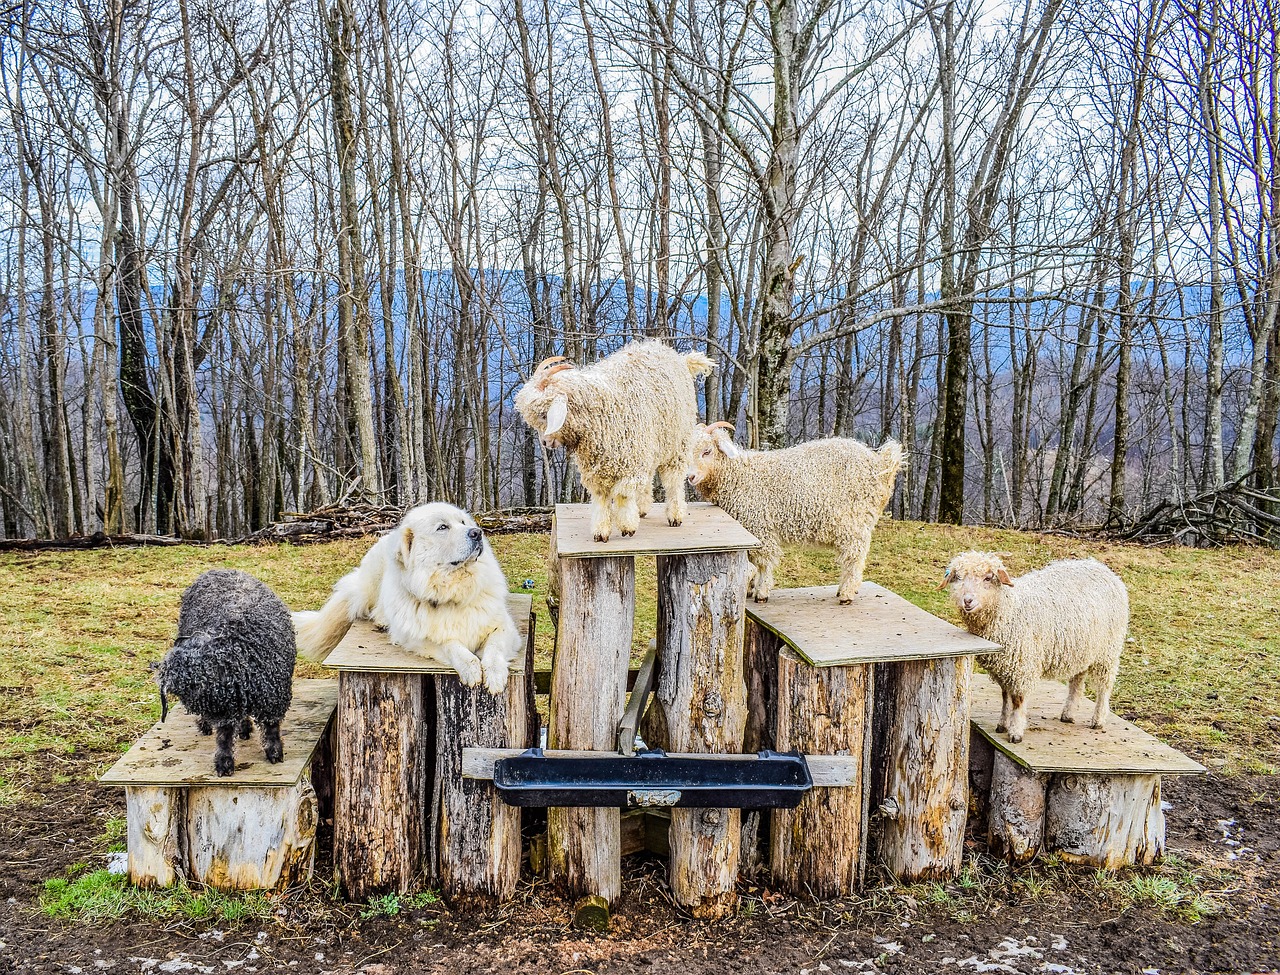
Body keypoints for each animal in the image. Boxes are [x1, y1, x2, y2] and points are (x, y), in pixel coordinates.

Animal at [153, 565, 298, 772]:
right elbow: (224, 735)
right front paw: (224, 762)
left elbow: (271, 728)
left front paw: (275, 753)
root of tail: (216, 570)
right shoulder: (224, 707)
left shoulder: (273, 697)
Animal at [293, 501, 519, 690]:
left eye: (462, 522)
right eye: (442, 527)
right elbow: (451, 645)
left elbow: (495, 648)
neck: (452, 591)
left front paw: (495, 675)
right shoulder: (419, 639)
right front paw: (470, 668)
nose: (477, 532)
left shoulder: (503, 626)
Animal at [514, 340, 716, 539]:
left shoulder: (630, 462)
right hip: (650, 445)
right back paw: (642, 508)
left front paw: (627, 526)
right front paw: (601, 531)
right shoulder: (598, 468)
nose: (545, 443)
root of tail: (678, 357)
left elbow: (623, 495)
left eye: (544, 415)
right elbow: (601, 497)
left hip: (676, 444)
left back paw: (675, 515)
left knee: (674, 480)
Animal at [691, 424, 901, 601]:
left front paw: (761, 592)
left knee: (855, 555)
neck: (739, 474)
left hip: (853, 520)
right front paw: (751, 589)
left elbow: (763, 563)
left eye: (707, 451)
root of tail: (880, 463)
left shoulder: (760, 526)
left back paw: (846, 594)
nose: (691, 476)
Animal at [942, 550, 1131, 742]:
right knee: (1077, 682)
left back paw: (1098, 719)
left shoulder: (1022, 666)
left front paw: (1016, 731)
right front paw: (1002, 724)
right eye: (958, 577)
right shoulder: (1004, 668)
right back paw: (1068, 714)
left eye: (988, 578)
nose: (967, 600)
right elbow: (1005, 697)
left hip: (1108, 650)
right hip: (1083, 648)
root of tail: (1101, 567)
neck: (1009, 610)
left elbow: (1017, 700)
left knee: (1105, 686)